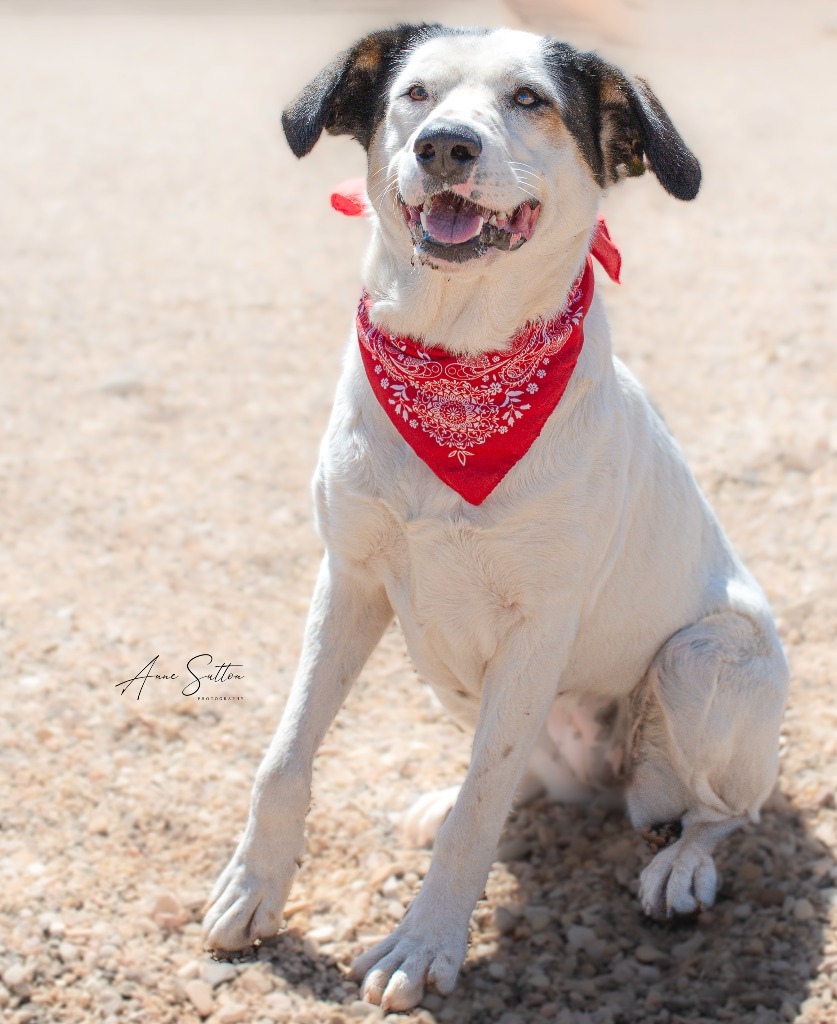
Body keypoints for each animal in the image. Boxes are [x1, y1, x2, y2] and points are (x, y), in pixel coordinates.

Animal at [200, 22, 782, 1007]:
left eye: (529, 100)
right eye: (415, 95)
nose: (445, 147)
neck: (459, 356)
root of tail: (609, 781)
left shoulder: (539, 623)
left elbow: (482, 806)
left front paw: (423, 943)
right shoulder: (349, 579)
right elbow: (285, 756)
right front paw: (252, 888)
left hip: (705, 658)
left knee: (719, 811)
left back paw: (680, 865)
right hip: (446, 664)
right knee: (522, 781)